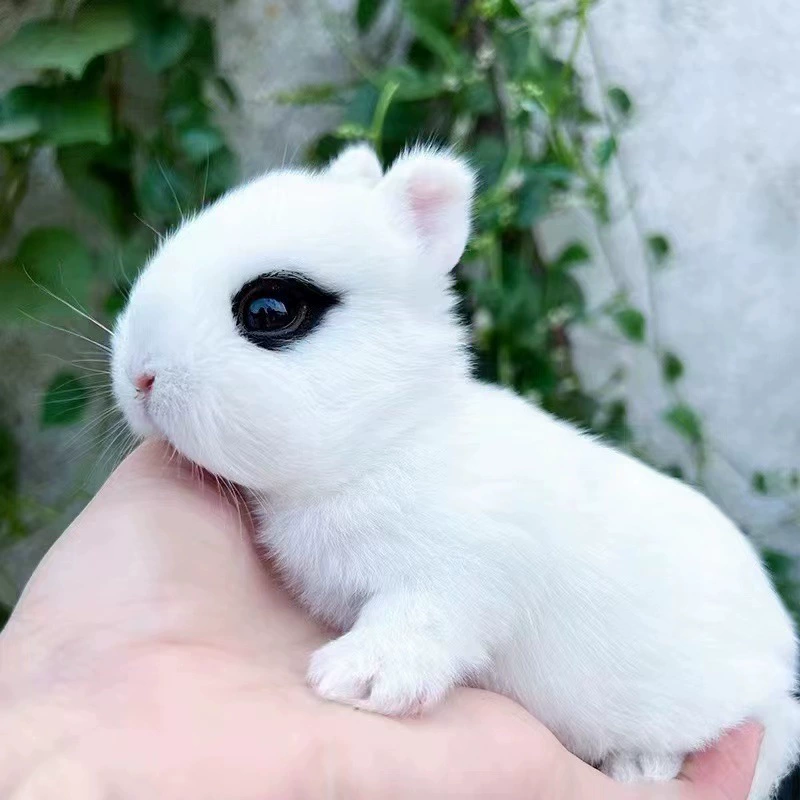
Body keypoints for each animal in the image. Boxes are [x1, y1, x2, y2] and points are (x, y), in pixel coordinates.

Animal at [111, 143, 800, 798]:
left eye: (269, 310)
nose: (140, 377)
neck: (383, 440)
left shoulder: (459, 574)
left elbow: (420, 620)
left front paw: (357, 679)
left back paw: (641, 766)